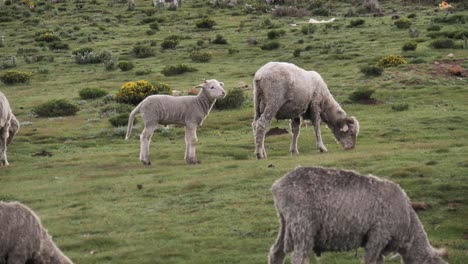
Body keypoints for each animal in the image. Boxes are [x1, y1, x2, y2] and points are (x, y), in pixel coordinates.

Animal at [268, 167, 448, 264]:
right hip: (302, 225)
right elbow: (369, 261)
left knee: (276, 253)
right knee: (298, 258)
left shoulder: (379, 243)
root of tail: (278, 186)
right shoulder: (378, 235)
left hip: (286, 223)